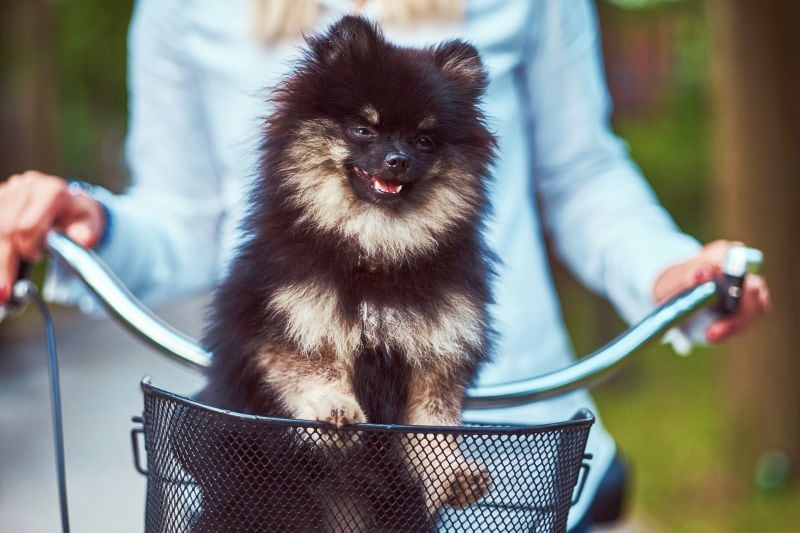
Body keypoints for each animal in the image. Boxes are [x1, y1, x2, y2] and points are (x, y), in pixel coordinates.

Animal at [192, 14, 494, 528]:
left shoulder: (435, 354)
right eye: (363, 129)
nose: (398, 160)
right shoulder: (289, 322)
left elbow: (433, 424)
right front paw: (334, 409)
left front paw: (453, 474)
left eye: (424, 140)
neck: (376, 251)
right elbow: (312, 369)